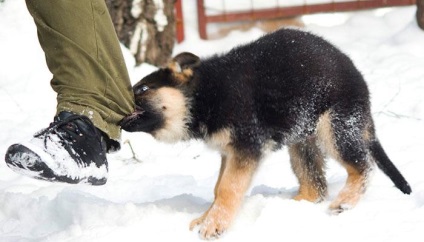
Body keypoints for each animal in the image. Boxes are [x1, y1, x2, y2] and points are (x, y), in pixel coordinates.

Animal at [121, 27, 412, 238]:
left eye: (143, 89)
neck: (203, 94)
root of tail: (357, 75)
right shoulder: (229, 152)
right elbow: (218, 188)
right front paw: (207, 217)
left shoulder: (245, 147)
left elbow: (227, 188)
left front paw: (215, 223)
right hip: (302, 140)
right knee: (315, 186)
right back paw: (290, 207)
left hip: (335, 128)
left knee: (362, 165)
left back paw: (345, 201)